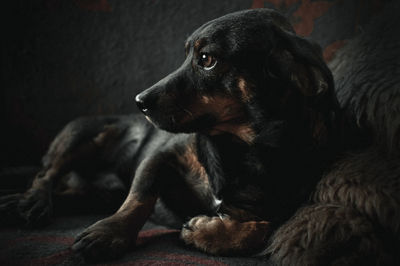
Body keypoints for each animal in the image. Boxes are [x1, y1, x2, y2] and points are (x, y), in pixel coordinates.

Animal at [1, 5, 398, 264]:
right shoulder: (159, 157)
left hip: (89, 186)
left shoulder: (283, 205)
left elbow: (263, 229)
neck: (241, 147)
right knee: (47, 173)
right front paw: (108, 233)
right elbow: (139, 198)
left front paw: (207, 232)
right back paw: (31, 202)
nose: (139, 101)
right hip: (81, 135)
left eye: (206, 59)